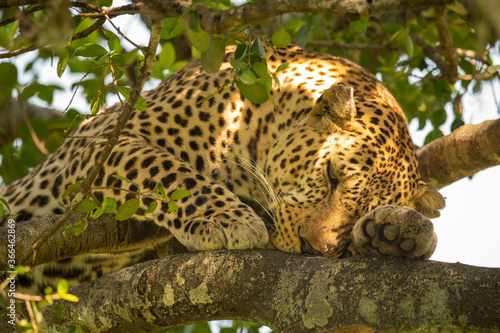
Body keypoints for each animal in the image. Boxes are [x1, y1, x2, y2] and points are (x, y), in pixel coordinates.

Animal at [0, 42, 446, 292]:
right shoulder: (99, 144)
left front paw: (398, 233)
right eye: (332, 176)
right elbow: (165, 170)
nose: (313, 249)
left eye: (358, 214)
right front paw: (228, 219)